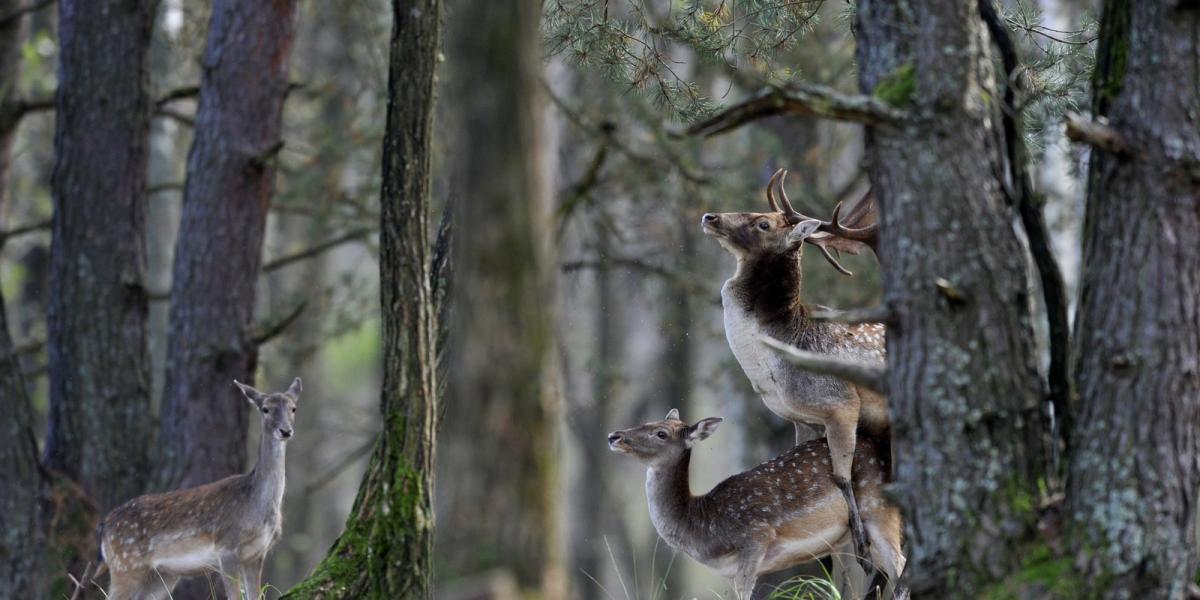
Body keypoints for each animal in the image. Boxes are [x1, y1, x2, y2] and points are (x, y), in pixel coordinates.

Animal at [99, 379, 304, 600]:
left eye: (293, 408)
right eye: (265, 409)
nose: (285, 431)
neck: (257, 508)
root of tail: (104, 526)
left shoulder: (257, 554)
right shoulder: (227, 548)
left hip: (161, 575)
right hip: (126, 565)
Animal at [609, 410, 902, 597]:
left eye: (660, 433)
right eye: (647, 421)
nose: (615, 436)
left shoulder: (755, 536)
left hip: (879, 510)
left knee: (900, 567)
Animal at [700, 168, 888, 561]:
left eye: (763, 224)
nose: (710, 217)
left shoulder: (841, 405)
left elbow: (842, 477)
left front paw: (861, 546)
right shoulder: (800, 419)